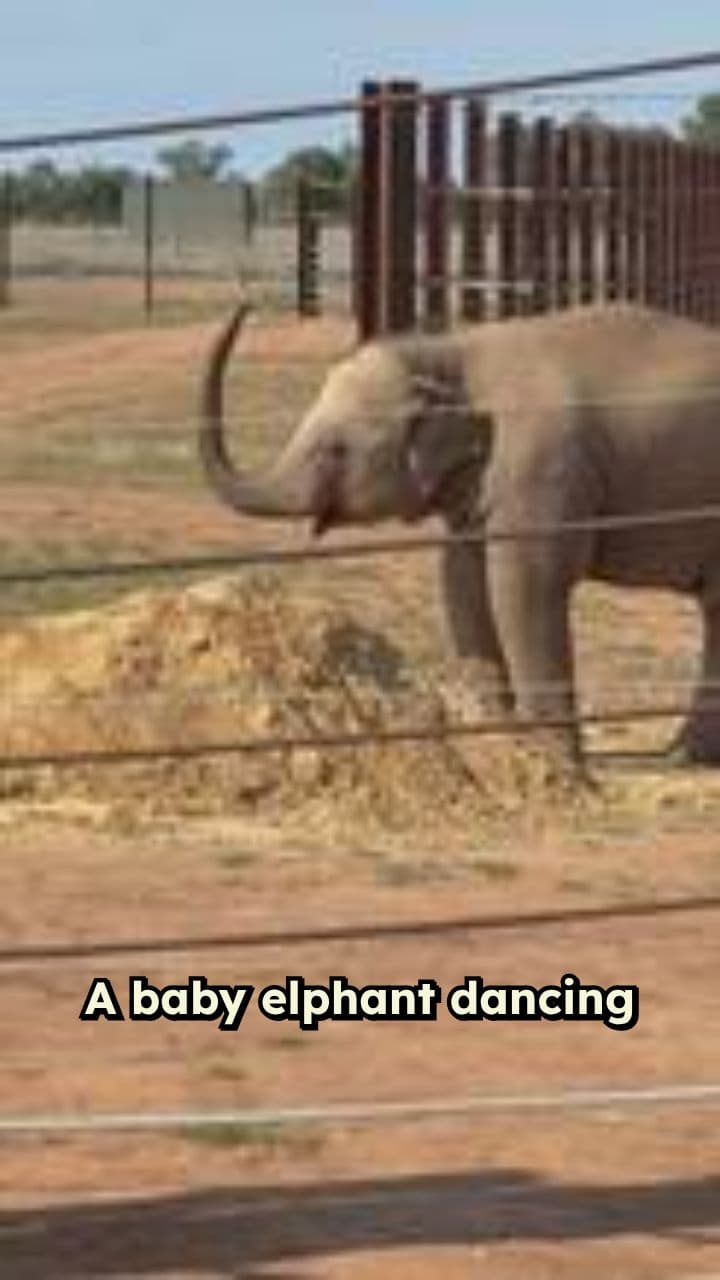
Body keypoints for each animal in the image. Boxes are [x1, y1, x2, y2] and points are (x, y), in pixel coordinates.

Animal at [199, 301, 720, 770]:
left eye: (336, 449)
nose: (247, 302)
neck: (450, 349)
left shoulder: (543, 470)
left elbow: (525, 587)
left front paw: (553, 765)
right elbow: (461, 579)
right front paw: (500, 747)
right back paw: (683, 758)